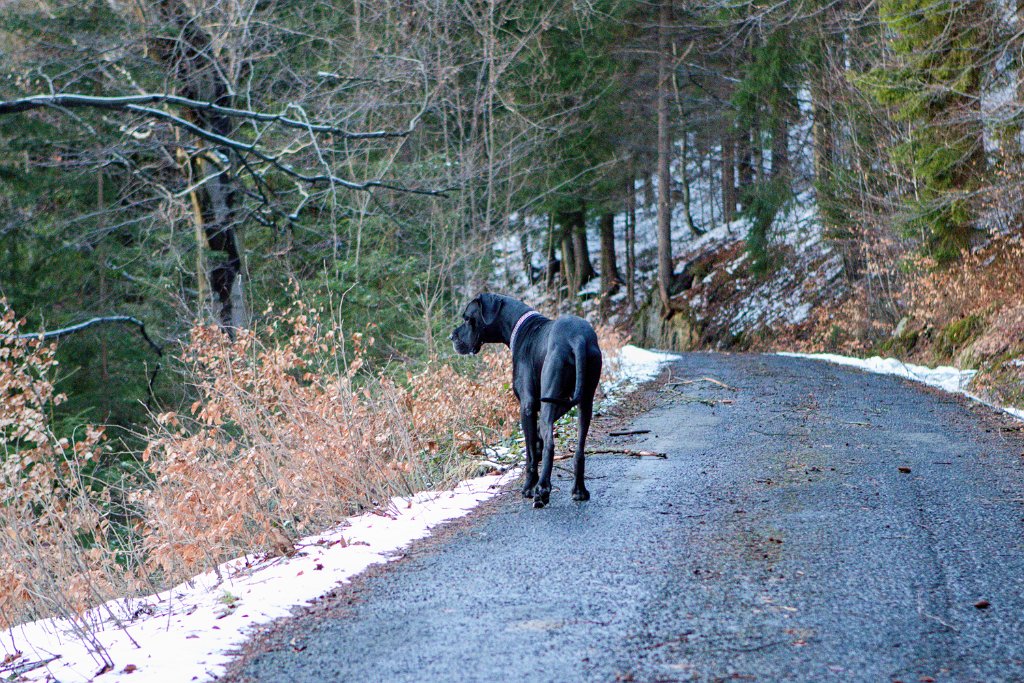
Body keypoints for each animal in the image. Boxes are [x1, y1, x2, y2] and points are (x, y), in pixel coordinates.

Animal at [448, 294, 598, 507]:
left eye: (468, 318)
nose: (451, 337)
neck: (522, 326)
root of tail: (577, 338)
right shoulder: (563, 400)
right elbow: (537, 439)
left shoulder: (527, 405)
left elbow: (530, 453)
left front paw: (528, 487)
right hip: (585, 400)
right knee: (579, 448)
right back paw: (579, 490)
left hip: (550, 397)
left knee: (550, 445)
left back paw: (542, 490)